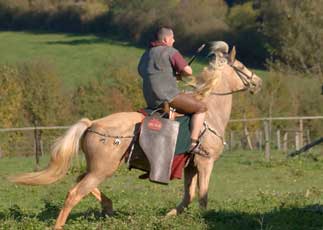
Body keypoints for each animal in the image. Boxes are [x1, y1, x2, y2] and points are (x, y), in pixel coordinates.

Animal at [10, 41, 264, 228]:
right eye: (241, 66)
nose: (258, 81)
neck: (209, 112)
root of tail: (92, 124)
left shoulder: (190, 166)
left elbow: (188, 196)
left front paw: (169, 216)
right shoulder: (205, 161)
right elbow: (202, 195)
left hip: (98, 168)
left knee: (81, 181)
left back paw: (109, 207)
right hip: (103, 169)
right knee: (74, 192)